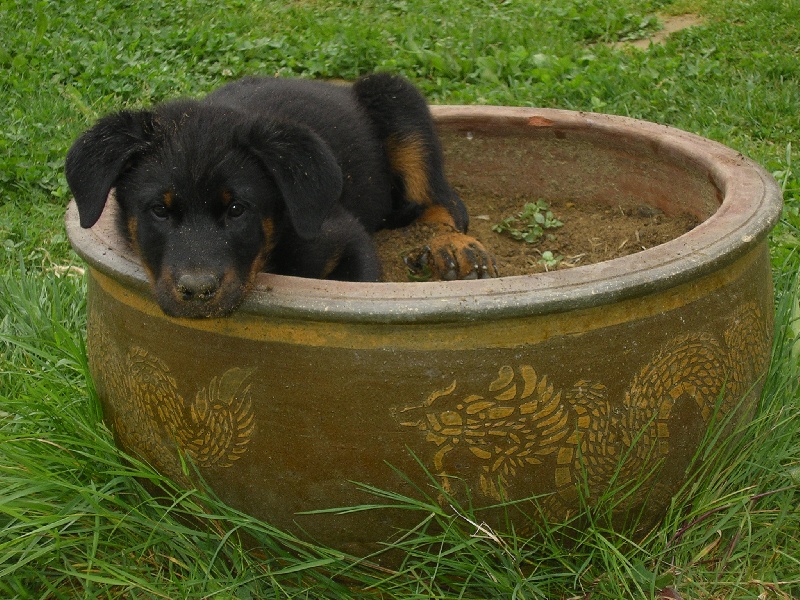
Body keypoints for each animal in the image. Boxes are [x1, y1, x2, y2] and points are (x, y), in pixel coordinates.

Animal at [67, 72, 494, 318]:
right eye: (158, 209)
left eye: (237, 209)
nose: (198, 291)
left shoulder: (348, 239)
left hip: (396, 98)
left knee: (443, 205)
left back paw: (454, 248)